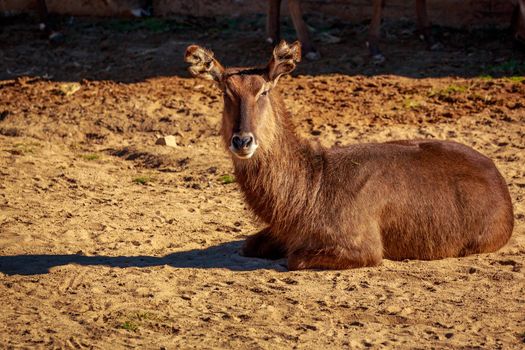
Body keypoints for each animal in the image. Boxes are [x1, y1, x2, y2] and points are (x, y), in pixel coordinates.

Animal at [183, 41, 512, 270]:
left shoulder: (363, 247)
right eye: (225, 92)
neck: (309, 189)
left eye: (263, 91)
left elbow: (294, 258)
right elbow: (248, 245)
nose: (242, 140)